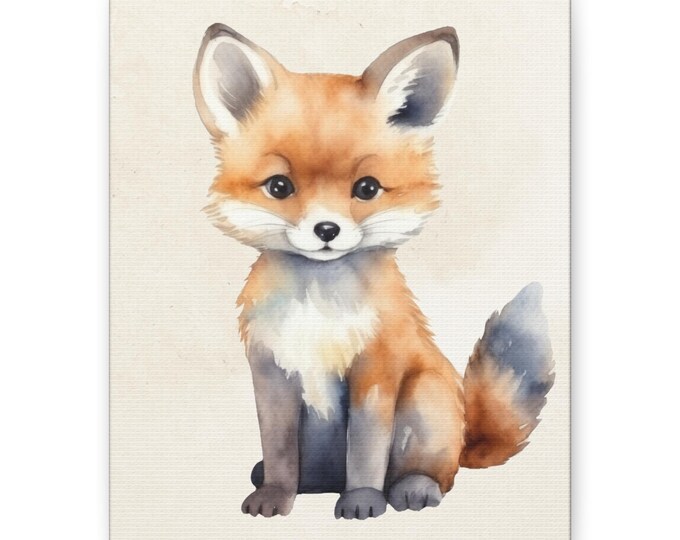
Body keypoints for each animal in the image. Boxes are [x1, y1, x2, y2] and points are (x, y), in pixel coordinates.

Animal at [193, 23, 554, 519]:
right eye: (279, 187)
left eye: (366, 189)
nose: (326, 229)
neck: (317, 308)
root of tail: (466, 437)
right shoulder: (271, 373)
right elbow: (279, 447)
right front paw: (275, 495)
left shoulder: (376, 370)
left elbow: (366, 449)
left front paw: (363, 500)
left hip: (424, 399)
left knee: (439, 474)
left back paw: (413, 489)